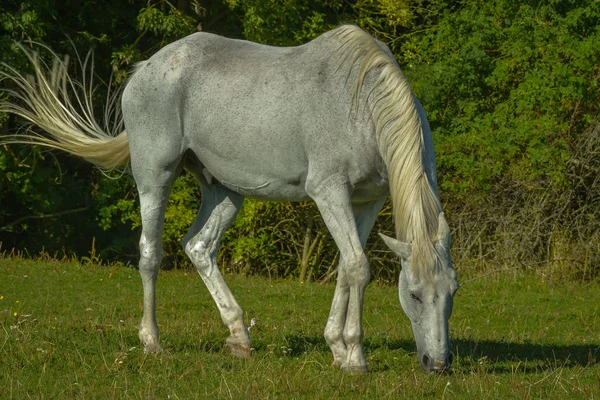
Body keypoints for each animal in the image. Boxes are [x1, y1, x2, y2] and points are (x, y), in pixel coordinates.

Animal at [0, 25, 460, 372]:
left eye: (452, 292)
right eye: (414, 294)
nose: (437, 364)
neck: (360, 103)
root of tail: (147, 68)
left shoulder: (367, 202)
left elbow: (348, 268)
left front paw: (337, 348)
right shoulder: (329, 192)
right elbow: (359, 268)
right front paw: (355, 357)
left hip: (225, 191)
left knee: (199, 247)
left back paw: (239, 335)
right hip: (155, 175)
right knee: (151, 254)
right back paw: (152, 342)